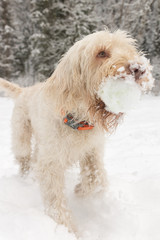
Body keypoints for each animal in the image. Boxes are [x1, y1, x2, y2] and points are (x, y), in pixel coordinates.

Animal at [0, 30, 154, 234]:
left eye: (129, 49)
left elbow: (95, 178)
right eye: (101, 53)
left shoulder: (93, 150)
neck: (78, 120)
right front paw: (68, 229)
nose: (139, 68)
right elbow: (55, 200)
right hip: (21, 138)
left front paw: (80, 191)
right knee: (25, 159)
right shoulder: (51, 164)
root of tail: (23, 91)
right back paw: (27, 178)